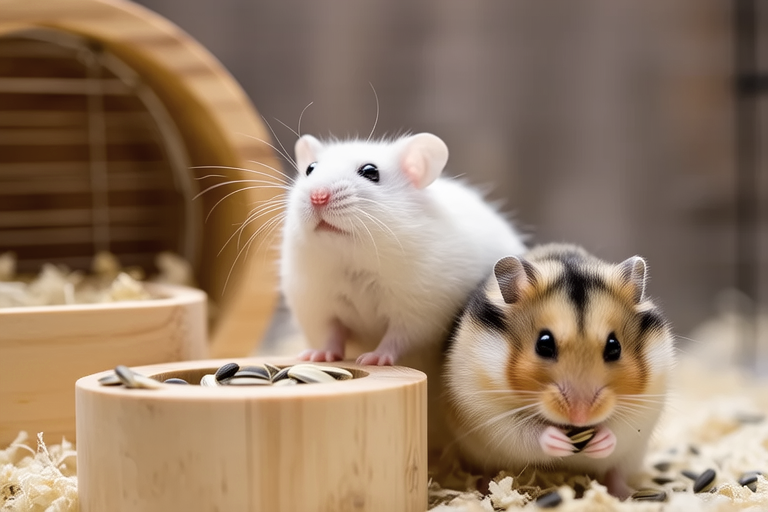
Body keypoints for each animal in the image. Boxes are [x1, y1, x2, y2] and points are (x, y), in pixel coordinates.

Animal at [279, 132, 526, 367]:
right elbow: (331, 334)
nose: (318, 196)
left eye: (370, 172)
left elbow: (397, 338)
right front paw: (316, 356)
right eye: (310, 169)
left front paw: (373, 359)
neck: (353, 259)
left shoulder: (418, 314)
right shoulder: (319, 308)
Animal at [443, 243, 675, 498]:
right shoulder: (489, 414)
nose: (580, 416)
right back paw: (484, 489)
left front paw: (600, 441)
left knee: (614, 472)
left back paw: (624, 492)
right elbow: (525, 434)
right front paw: (558, 441)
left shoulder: (643, 410)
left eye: (615, 347)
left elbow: (619, 429)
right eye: (544, 344)